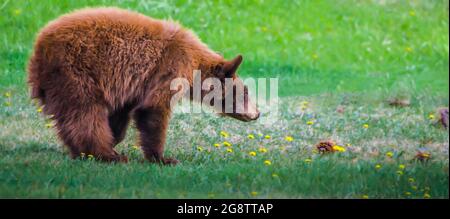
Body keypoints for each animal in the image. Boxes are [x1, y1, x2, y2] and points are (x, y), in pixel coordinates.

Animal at [28, 7, 258, 164]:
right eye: (246, 92)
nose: (257, 113)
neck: (195, 63)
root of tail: (40, 46)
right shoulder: (171, 67)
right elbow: (154, 109)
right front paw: (163, 158)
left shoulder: (132, 85)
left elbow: (122, 113)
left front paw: (114, 139)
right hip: (75, 71)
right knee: (85, 112)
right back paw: (105, 155)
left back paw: (84, 151)